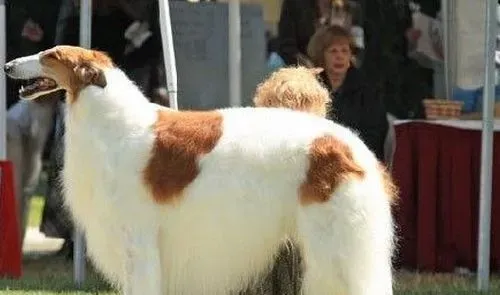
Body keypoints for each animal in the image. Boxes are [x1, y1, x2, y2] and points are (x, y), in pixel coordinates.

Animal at [2, 46, 394, 295]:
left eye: (50, 55)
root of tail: (352, 146)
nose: (7, 65)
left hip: (341, 248)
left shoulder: (139, 242)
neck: (115, 123)